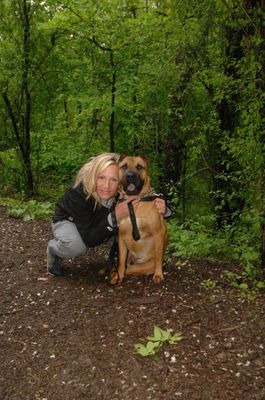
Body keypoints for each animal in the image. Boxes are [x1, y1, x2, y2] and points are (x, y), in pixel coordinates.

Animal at [110, 155, 167, 284]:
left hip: (142, 266)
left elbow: (158, 257)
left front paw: (158, 274)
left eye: (139, 167)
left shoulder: (158, 232)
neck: (134, 201)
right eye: (124, 166)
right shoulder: (121, 236)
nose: (130, 175)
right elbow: (121, 262)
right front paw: (118, 276)